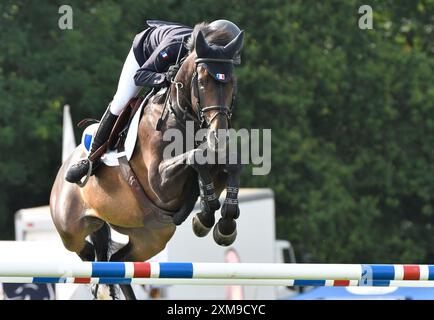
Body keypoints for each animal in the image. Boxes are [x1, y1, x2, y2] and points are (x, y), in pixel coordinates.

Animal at [49, 23, 244, 300]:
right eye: (202, 81)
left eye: (232, 83)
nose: (219, 135)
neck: (180, 113)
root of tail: (61, 171)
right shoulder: (159, 182)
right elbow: (195, 158)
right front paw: (206, 217)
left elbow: (228, 162)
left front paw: (222, 223)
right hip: (70, 228)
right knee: (88, 253)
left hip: (150, 237)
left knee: (118, 263)